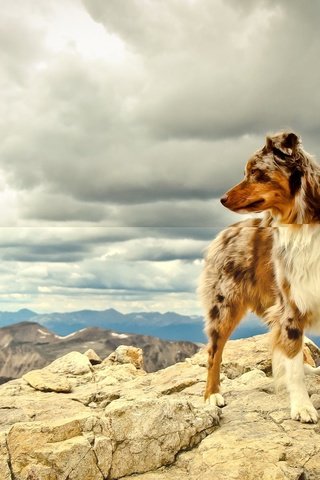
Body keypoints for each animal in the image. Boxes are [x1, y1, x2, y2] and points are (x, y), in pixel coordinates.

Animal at [199, 131, 320, 424]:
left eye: (255, 172)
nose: (221, 199)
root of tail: (225, 232)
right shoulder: (291, 305)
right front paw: (303, 407)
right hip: (224, 306)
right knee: (214, 352)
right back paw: (212, 395)